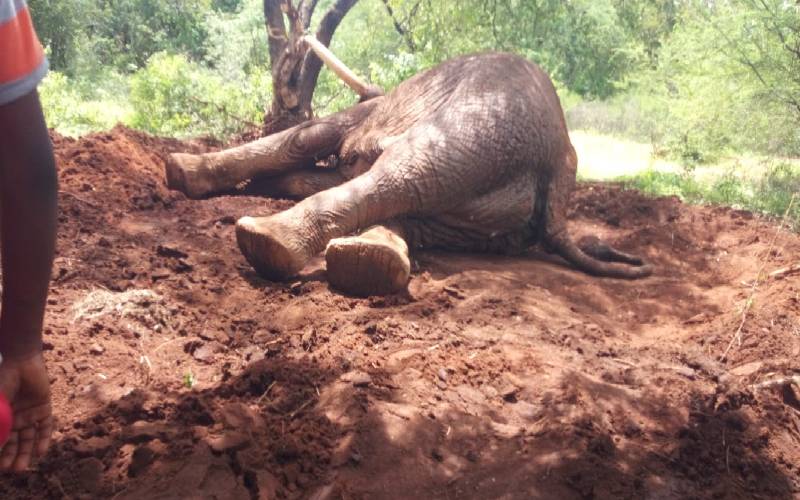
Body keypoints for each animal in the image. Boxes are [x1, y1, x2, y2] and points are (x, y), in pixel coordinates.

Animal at [165, 42, 652, 296]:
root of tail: (559, 157)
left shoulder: (371, 113)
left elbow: (308, 138)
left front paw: (180, 171)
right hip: (498, 211)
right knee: (413, 204)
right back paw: (369, 263)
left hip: (480, 131)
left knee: (405, 176)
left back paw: (266, 242)